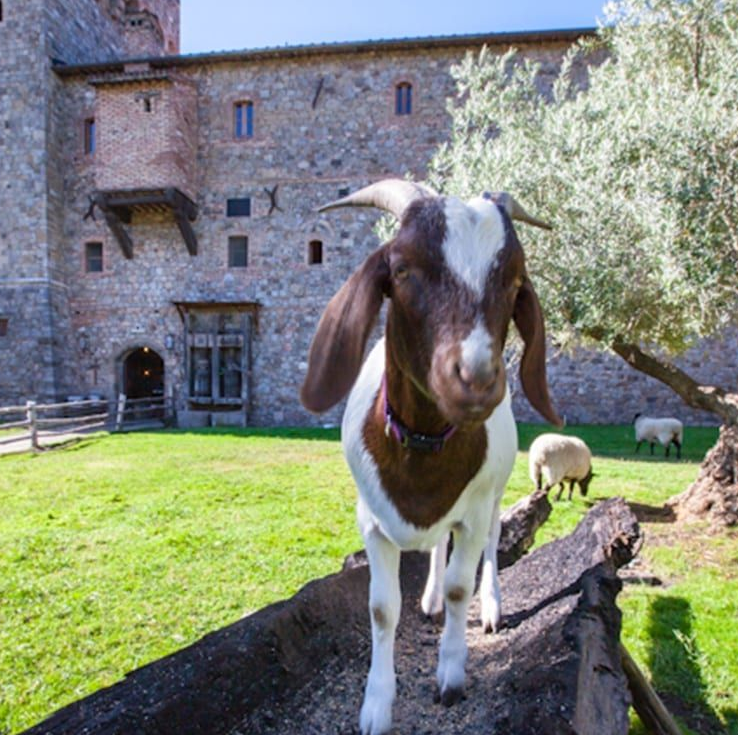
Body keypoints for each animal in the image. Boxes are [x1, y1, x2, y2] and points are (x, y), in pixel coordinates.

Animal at [301, 179, 561, 735]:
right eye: (401, 269)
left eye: (515, 281)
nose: (477, 378)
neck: (421, 446)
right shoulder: (371, 522)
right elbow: (382, 608)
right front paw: (376, 706)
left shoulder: (473, 510)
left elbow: (464, 583)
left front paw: (451, 674)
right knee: (437, 546)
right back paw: (430, 598)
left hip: (493, 496)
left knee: (491, 545)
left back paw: (490, 607)